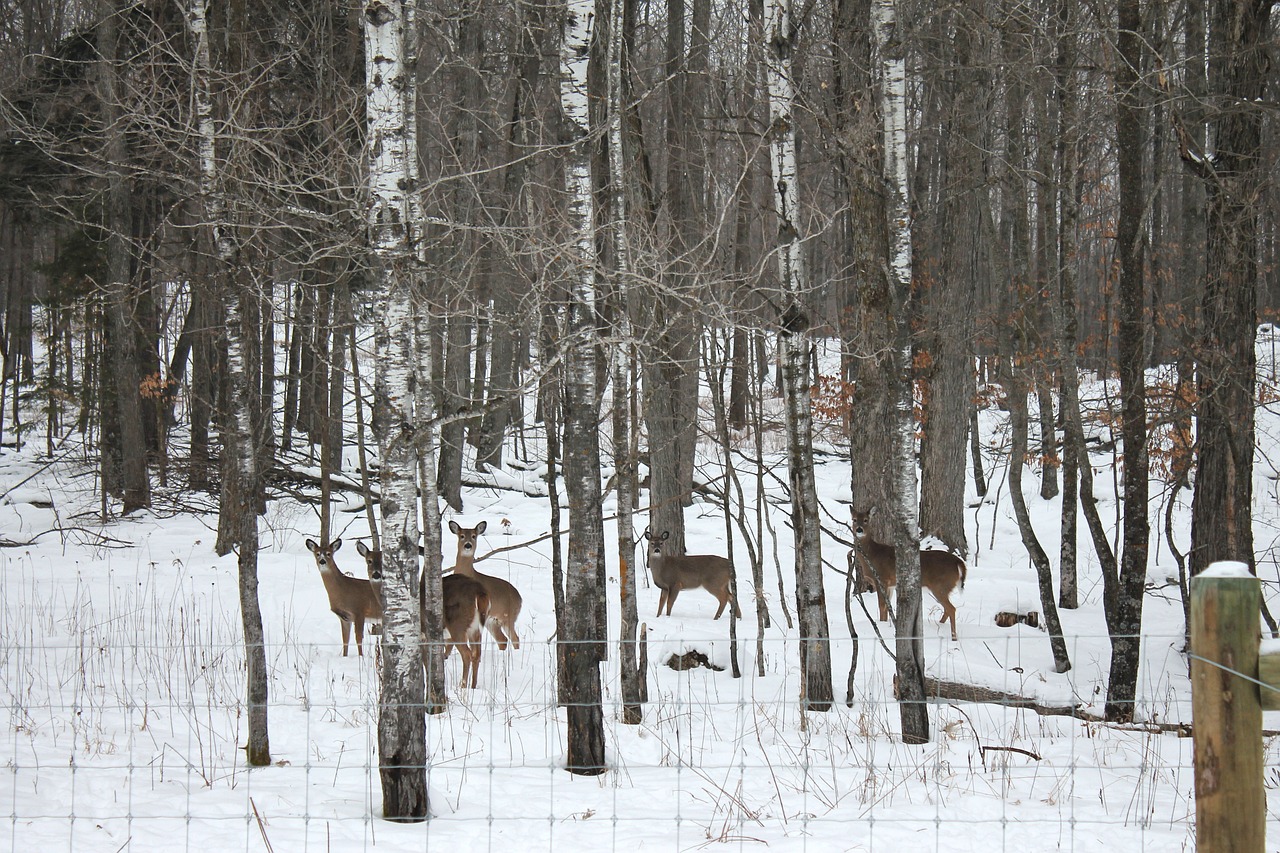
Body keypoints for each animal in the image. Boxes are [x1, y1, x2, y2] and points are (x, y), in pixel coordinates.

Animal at [355, 540, 488, 686]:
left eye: (382, 561)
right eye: (369, 561)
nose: (376, 574)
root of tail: (479, 592)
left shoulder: (422, 633)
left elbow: (426, 662)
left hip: (458, 625)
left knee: (467, 654)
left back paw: (462, 686)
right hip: (475, 628)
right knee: (477, 655)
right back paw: (473, 686)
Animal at [448, 517, 522, 650]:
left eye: (474, 536)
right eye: (461, 536)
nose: (468, 545)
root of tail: (520, 598)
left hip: (509, 616)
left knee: (515, 638)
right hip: (492, 621)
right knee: (502, 640)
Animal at [855, 504, 962, 637]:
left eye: (866, 520)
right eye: (854, 519)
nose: (859, 530)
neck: (872, 554)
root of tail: (958, 562)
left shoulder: (881, 579)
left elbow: (882, 605)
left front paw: (882, 625)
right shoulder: (890, 584)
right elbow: (887, 607)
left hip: (941, 585)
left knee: (951, 608)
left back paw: (953, 636)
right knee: (948, 609)